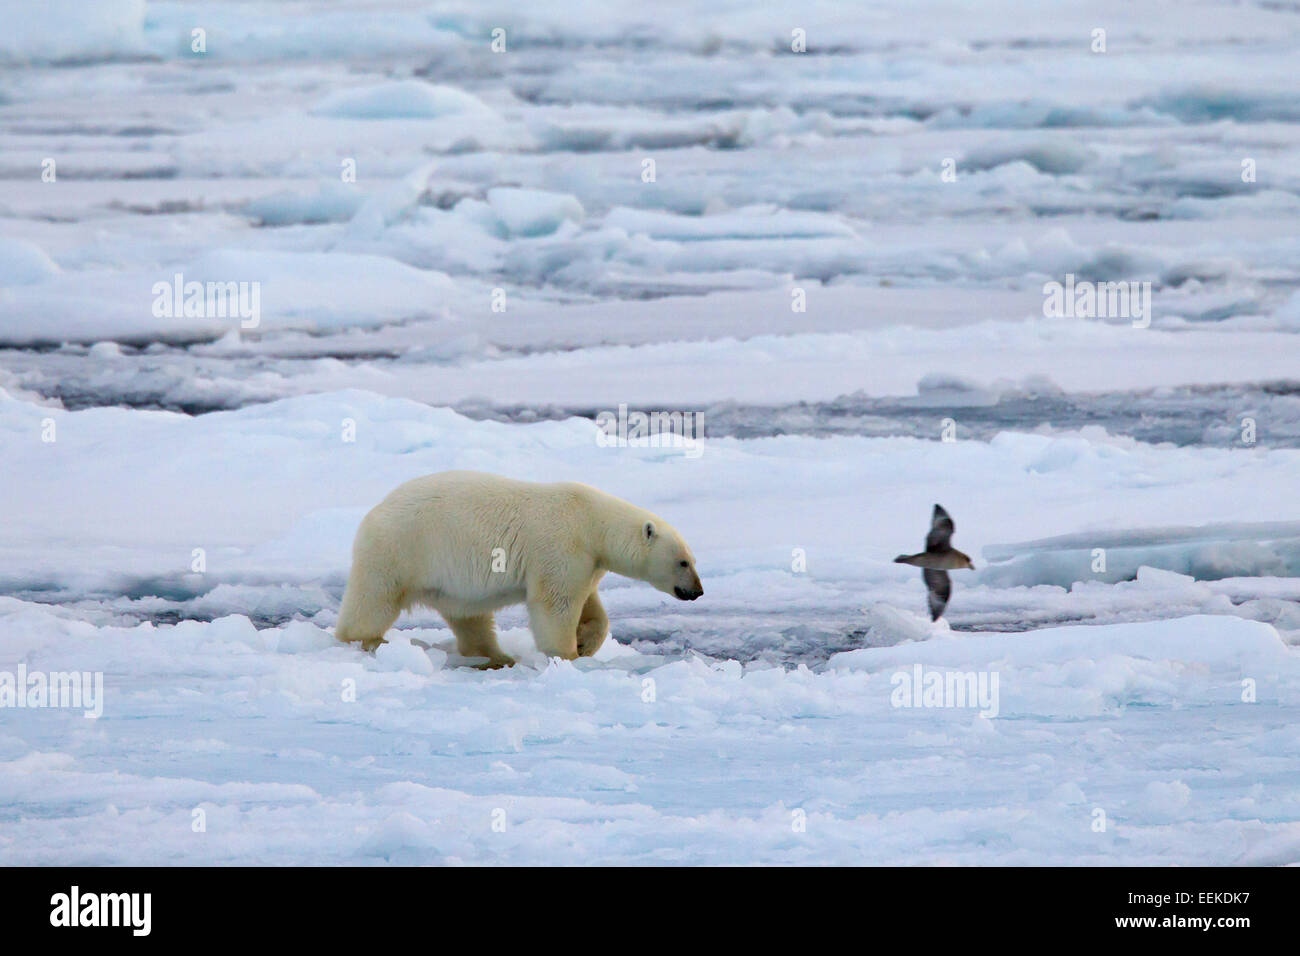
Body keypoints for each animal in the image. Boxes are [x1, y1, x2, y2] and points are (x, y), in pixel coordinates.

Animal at [335, 470, 702, 665]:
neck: (592, 522)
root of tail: (374, 512)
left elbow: (591, 605)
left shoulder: (587, 560)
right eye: (682, 561)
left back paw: (497, 658)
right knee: (374, 599)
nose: (697, 591)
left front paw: (585, 642)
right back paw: (368, 641)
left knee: (470, 618)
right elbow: (555, 603)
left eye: (693, 560)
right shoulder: (563, 546)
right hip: (399, 550)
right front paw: (567, 654)